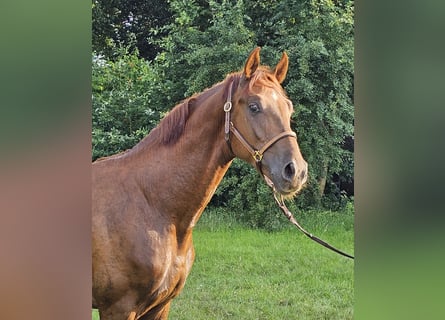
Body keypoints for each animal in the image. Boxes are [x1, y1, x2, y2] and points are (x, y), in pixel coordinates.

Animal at [93, 46, 308, 318]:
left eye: (289, 108)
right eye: (254, 106)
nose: (296, 171)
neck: (153, 203)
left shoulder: (160, 306)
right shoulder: (118, 308)